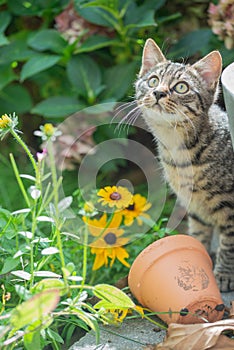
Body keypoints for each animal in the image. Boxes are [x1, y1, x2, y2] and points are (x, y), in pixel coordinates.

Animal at [135, 39, 234, 292]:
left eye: (181, 87)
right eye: (153, 81)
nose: (158, 92)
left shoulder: (230, 207)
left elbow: (229, 242)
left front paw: (224, 274)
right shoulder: (196, 208)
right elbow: (198, 235)